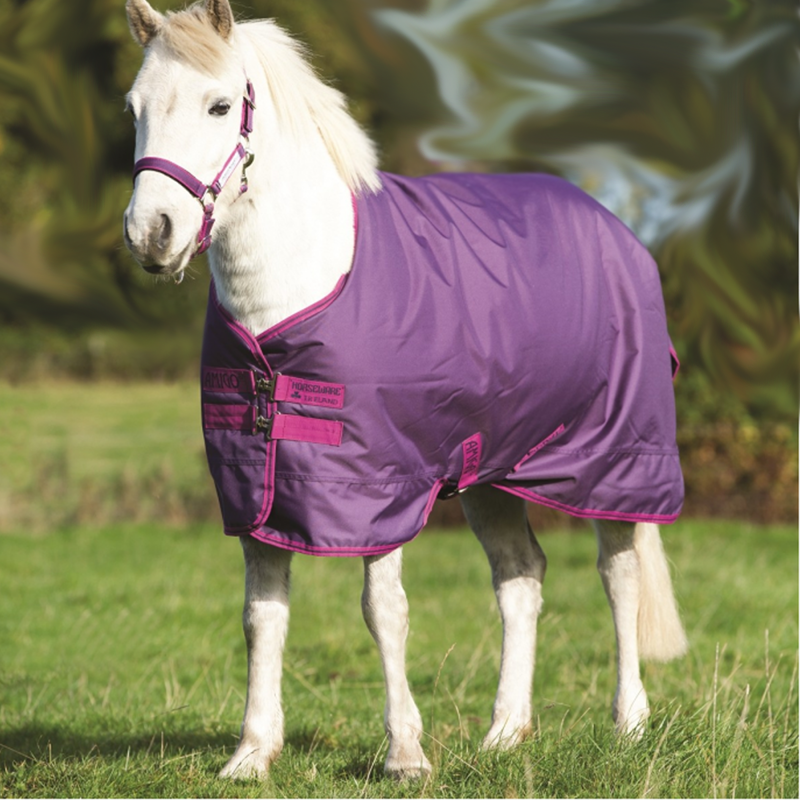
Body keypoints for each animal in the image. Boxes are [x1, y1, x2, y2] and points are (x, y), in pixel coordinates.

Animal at [122, 0, 688, 780]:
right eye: (135, 109)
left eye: (219, 105)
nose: (152, 233)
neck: (296, 292)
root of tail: (615, 227)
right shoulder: (258, 492)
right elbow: (262, 616)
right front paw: (252, 753)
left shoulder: (381, 487)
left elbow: (383, 611)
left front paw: (405, 754)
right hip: (489, 470)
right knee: (521, 578)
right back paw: (505, 732)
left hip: (617, 461)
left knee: (619, 574)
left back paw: (629, 724)